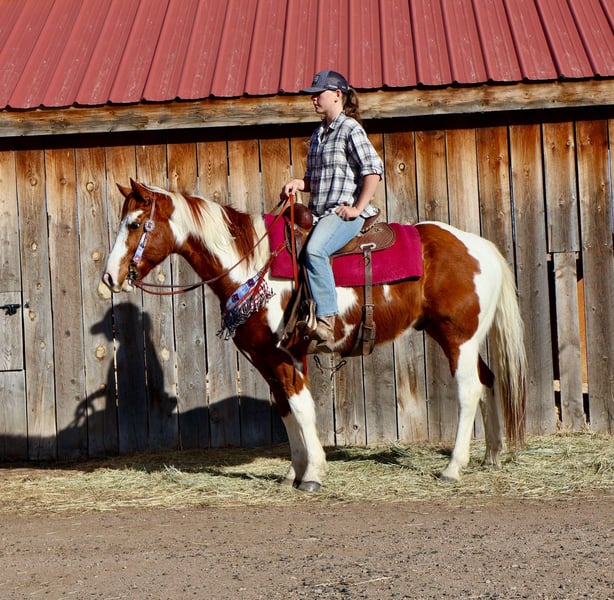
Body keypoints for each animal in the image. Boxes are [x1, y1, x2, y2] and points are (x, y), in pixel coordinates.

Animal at [102, 179, 527, 491]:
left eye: (135, 224)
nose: (109, 277)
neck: (254, 268)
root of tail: (479, 247)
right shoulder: (267, 359)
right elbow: (287, 411)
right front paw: (293, 472)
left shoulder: (284, 355)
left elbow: (303, 409)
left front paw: (313, 474)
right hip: (459, 337)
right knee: (488, 381)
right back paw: (491, 455)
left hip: (458, 338)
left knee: (469, 390)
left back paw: (453, 467)